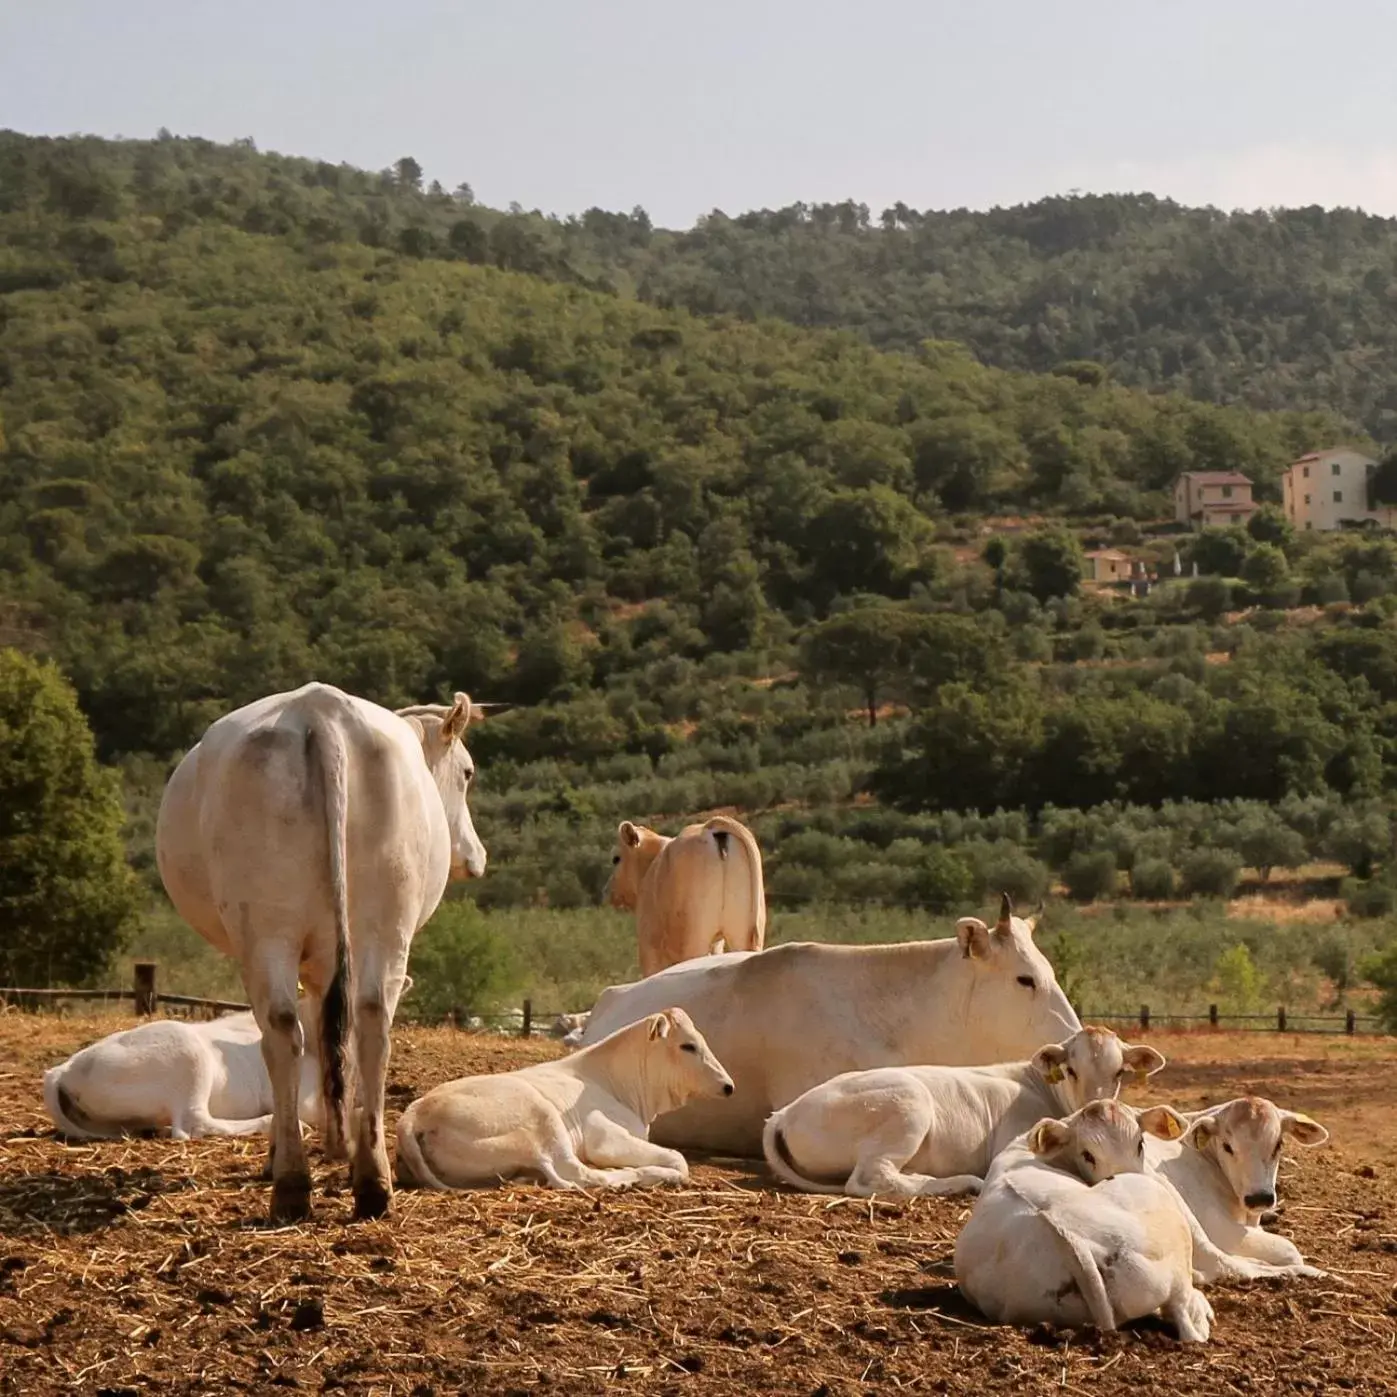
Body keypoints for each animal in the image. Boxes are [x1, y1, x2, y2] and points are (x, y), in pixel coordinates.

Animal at [393, 1005, 732, 1190]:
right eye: (688, 1046)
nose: (729, 1086)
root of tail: (415, 1111)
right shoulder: (603, 1138)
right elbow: (679, 1159)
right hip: (543, 1122)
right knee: (576, 1173)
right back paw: (628, 1176)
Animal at [759, 1022, 1162, 1195]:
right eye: (1071, 1069)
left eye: (1120, 1072)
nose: (1097, 1102)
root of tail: (784, 1113)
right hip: (909, 1105)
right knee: (869, 1178)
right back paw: (955, 1183)